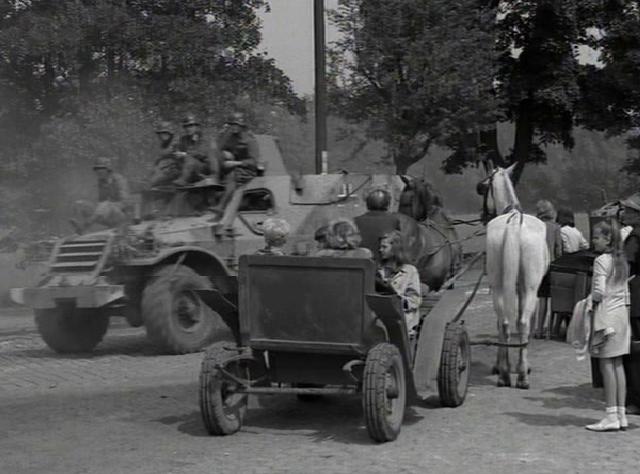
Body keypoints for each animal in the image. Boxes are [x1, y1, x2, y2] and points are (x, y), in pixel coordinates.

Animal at [476, 164, 552, 388]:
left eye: (483, 187)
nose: (483, 215)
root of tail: (514, 222)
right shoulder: (524, 289)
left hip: (500, 286)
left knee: (505, 323)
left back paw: (504, 374)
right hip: (530, 289)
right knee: (523, 322)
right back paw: (521, 375)